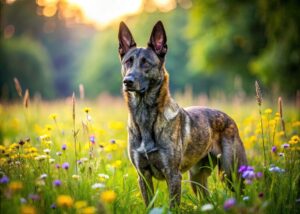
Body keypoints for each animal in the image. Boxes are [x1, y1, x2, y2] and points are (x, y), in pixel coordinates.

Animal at [118, 20, 247, 208]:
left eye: (146, 63)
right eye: (128, 61)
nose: (127, 81)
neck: (145, 116)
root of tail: (229, 118)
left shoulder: (173, 175)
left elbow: (173, 206)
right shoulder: (143, 176)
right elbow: (149, 204)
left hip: (231, 173)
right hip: (197, 178)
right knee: (206, 199)